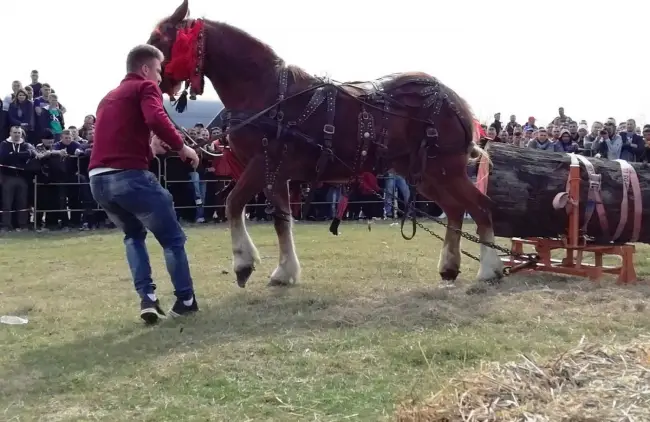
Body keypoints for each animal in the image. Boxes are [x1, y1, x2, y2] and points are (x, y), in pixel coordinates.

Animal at [147, 0, 502, 286]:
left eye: (160, 38)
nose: (152, 77)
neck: (264, 92)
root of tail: (453, 99)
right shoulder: (275, 171)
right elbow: (281, 220)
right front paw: (285, 271)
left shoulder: (262, 164)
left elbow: (234, 204)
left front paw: (244, 264)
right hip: (424, 173)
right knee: (456, 210)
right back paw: (450, 267)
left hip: (445, 169)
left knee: (481, 207)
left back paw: (489, 269)